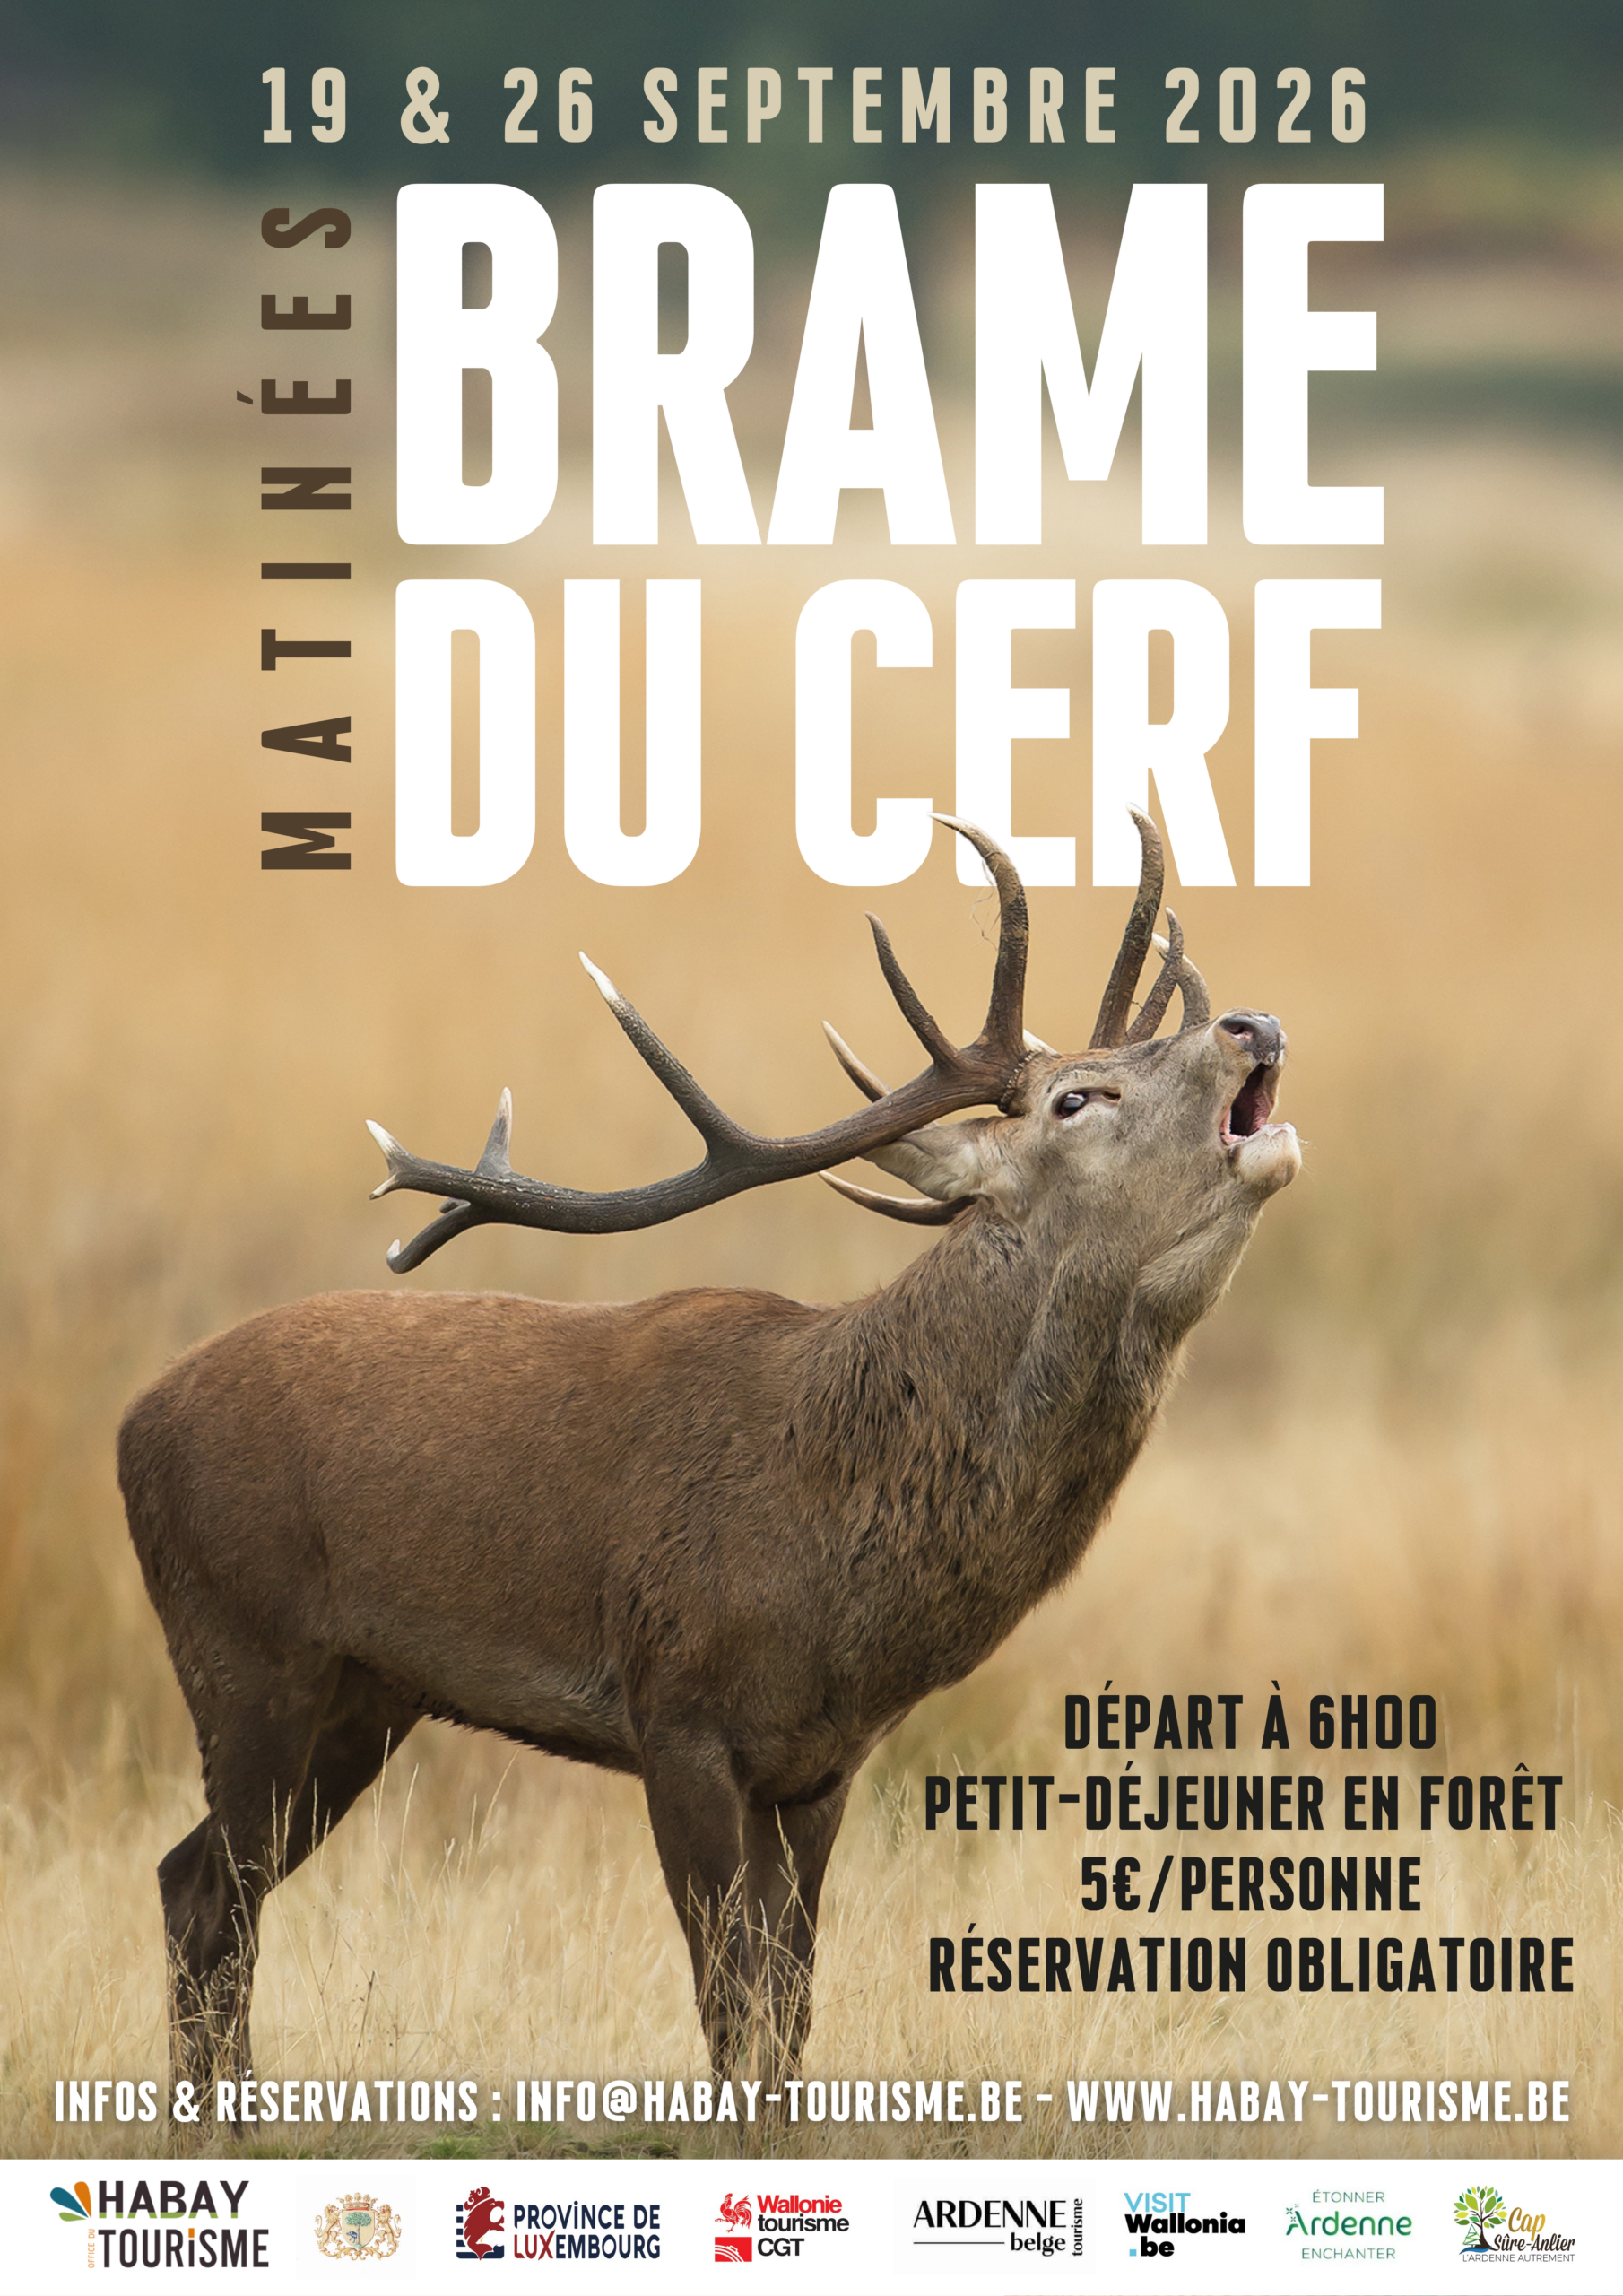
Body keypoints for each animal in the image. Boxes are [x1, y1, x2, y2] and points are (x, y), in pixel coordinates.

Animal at [119, 812, 1298, 2093]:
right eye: (1077, 1098)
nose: (1252, 1022)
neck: (833, 1556)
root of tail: (132, 1424)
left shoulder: (820, 1765)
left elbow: (788, 2017)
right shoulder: (675, 1710)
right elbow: (730, 2009)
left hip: (364, 1694)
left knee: (194, 1882)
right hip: (241, 1644)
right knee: (213, 1896)